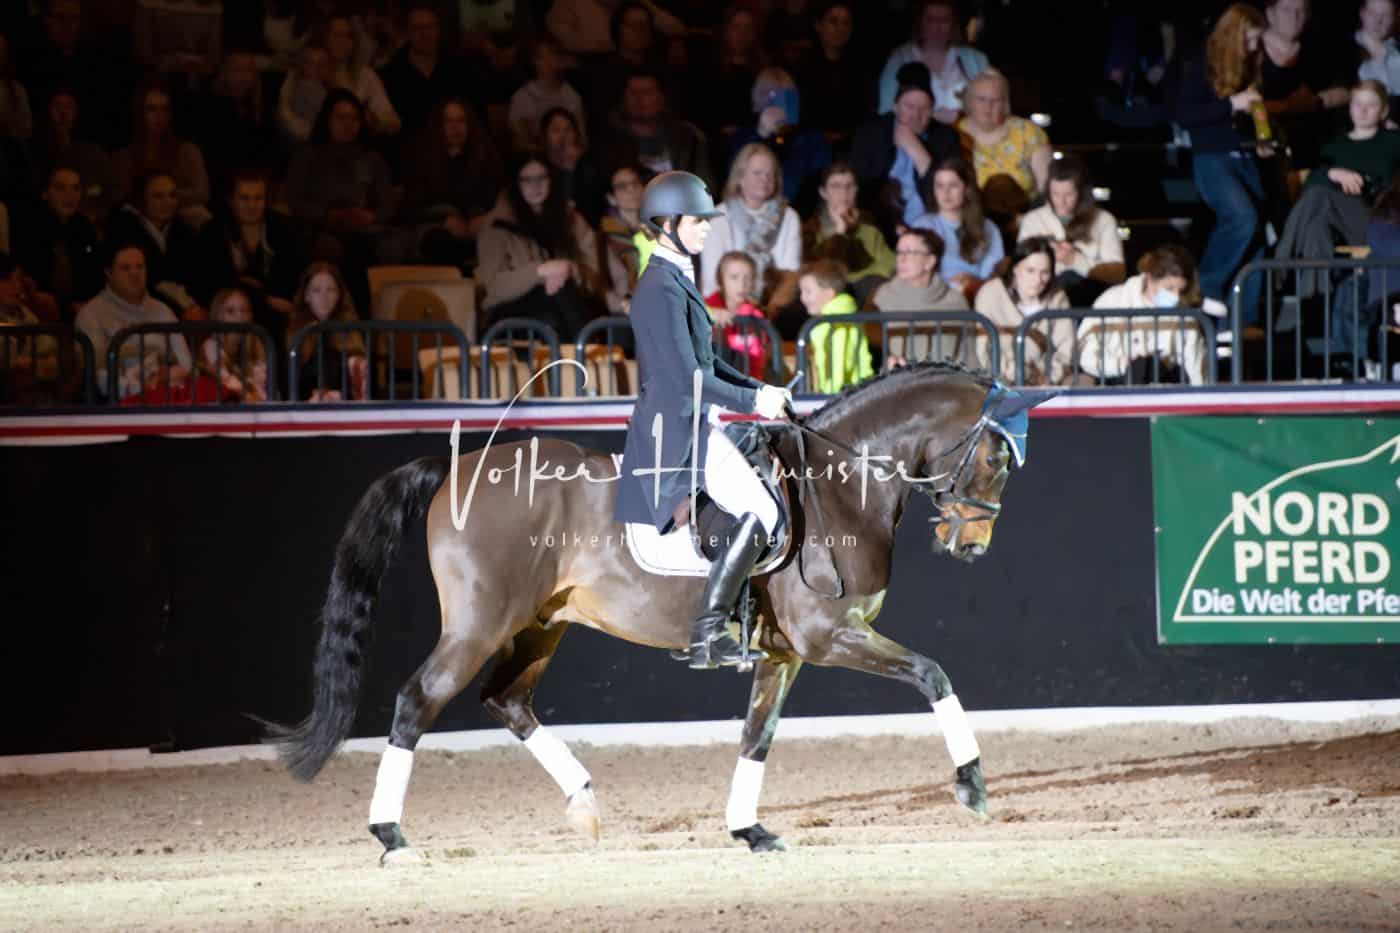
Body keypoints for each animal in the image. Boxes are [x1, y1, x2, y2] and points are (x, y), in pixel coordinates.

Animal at [268, 361, 1057, 862]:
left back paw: (584, 804)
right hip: (477, 626)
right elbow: (932, 673)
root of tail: (457, 468)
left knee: (507, 700)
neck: (841, 482)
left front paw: (749, 831)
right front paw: (973, 785)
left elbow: (757, 736)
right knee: (416, 701)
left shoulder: (784, 652)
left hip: (540, 625)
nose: (970, 544)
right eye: (996, 458)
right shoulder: (830, 634)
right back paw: (392, 837)